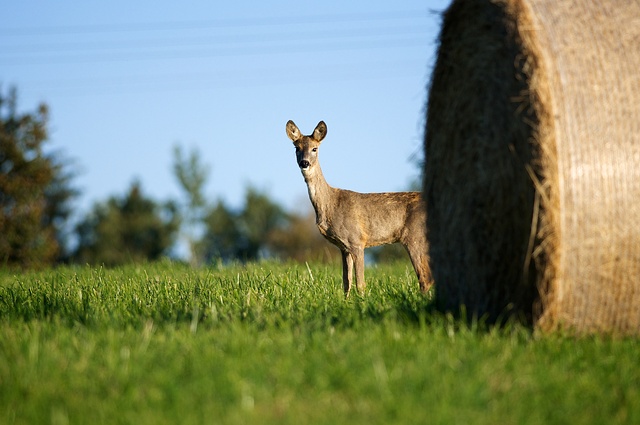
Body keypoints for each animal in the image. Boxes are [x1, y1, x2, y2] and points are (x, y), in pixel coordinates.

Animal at [284, 119, 430, 294]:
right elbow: (346, 282)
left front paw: (362, 299)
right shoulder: (344, 247)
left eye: (314, 148)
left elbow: (360, 283)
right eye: (297, 148)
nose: (304, 163)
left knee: (425, 279)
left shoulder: (357, 241)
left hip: (415, 236)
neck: (329, 203)